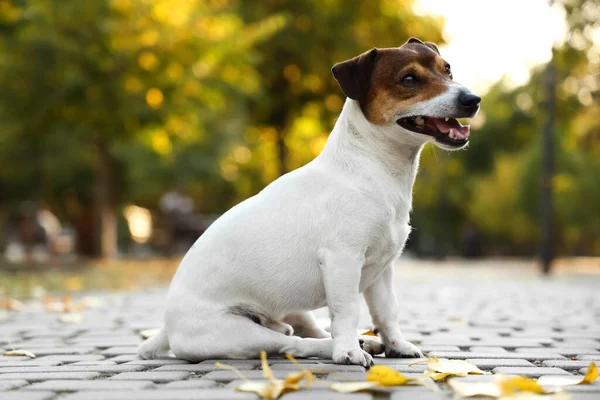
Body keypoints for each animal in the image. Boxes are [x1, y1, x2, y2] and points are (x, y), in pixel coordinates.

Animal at [138, 37, 480, 368]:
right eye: (409, 79)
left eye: (447, 69)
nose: (473, 99)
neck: (371, 169)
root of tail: (167, 329)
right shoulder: (342, 261)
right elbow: (346, 312)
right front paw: (348, 353)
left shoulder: (382, 270)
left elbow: (387, 312)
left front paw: (397, 345)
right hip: (238, 333)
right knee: (294, 344)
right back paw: (343, 347)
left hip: (294, 311)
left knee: (308, 329)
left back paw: (367, 341)